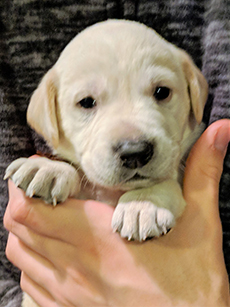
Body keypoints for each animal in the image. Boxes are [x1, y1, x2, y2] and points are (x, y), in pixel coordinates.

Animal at [4, 19, 208, 307]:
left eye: (162, 92)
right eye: (86, 102)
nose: (135, 151)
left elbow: (165, 182)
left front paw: (142, 203)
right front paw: (47, 168)